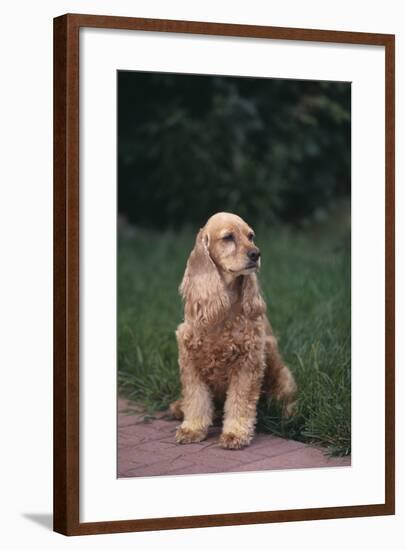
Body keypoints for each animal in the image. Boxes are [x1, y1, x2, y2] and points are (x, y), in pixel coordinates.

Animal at [170, 213, 296, 450]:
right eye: (228, 237)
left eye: (251, 236)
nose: (256, 253)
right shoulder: (190, 360)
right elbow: (196, 399)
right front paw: (192, 429)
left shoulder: (248, 364)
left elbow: (239, 402)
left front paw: (235, 434)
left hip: (280, 373)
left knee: (287, 397)